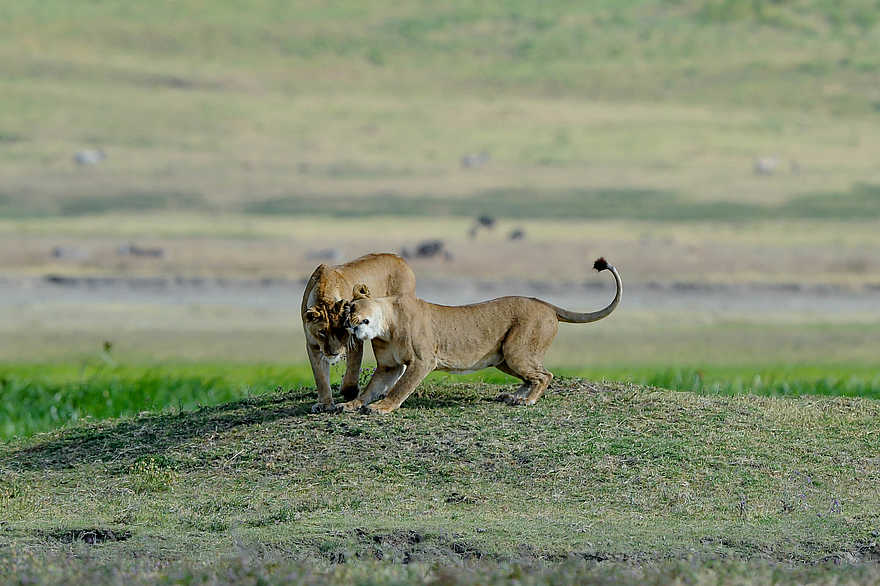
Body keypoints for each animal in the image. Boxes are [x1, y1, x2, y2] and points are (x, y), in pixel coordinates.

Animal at [302, 252, 416, 412]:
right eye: (322, 332)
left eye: (342, 331)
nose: (334, 353)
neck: (325, 295)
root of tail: (400, 258)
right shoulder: (312, 345)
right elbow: (320, 377)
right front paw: (324, 403)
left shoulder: (354, 340)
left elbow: (352, 372)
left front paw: (350, 392)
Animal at [337, 258, 622, 414]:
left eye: (351, 308)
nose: (346, 324)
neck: (385, 327)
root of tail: (546, 304)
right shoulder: (389, 366)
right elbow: (372, 387)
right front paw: (351, 405)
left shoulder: (422, 360)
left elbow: (400, 388)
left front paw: (382, 408)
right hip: (504, 357)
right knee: (531, 376)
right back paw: (514, 396)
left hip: (516, 351)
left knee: (545, 376)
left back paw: (527, 401)